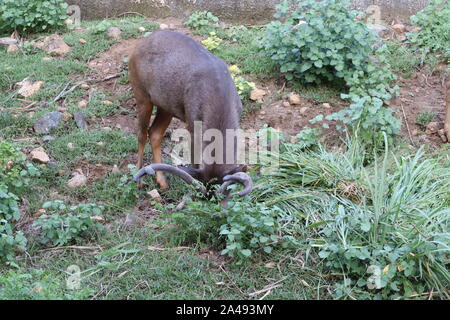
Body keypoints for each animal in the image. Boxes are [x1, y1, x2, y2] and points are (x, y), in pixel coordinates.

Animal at [128, 31, 253, 199]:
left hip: (166, 105)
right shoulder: (193, 125)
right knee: (141, 133)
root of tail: (138, 45)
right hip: (141, 94)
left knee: (154, 132)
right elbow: (195, 161)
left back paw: (162, 182)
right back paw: (139, 182)